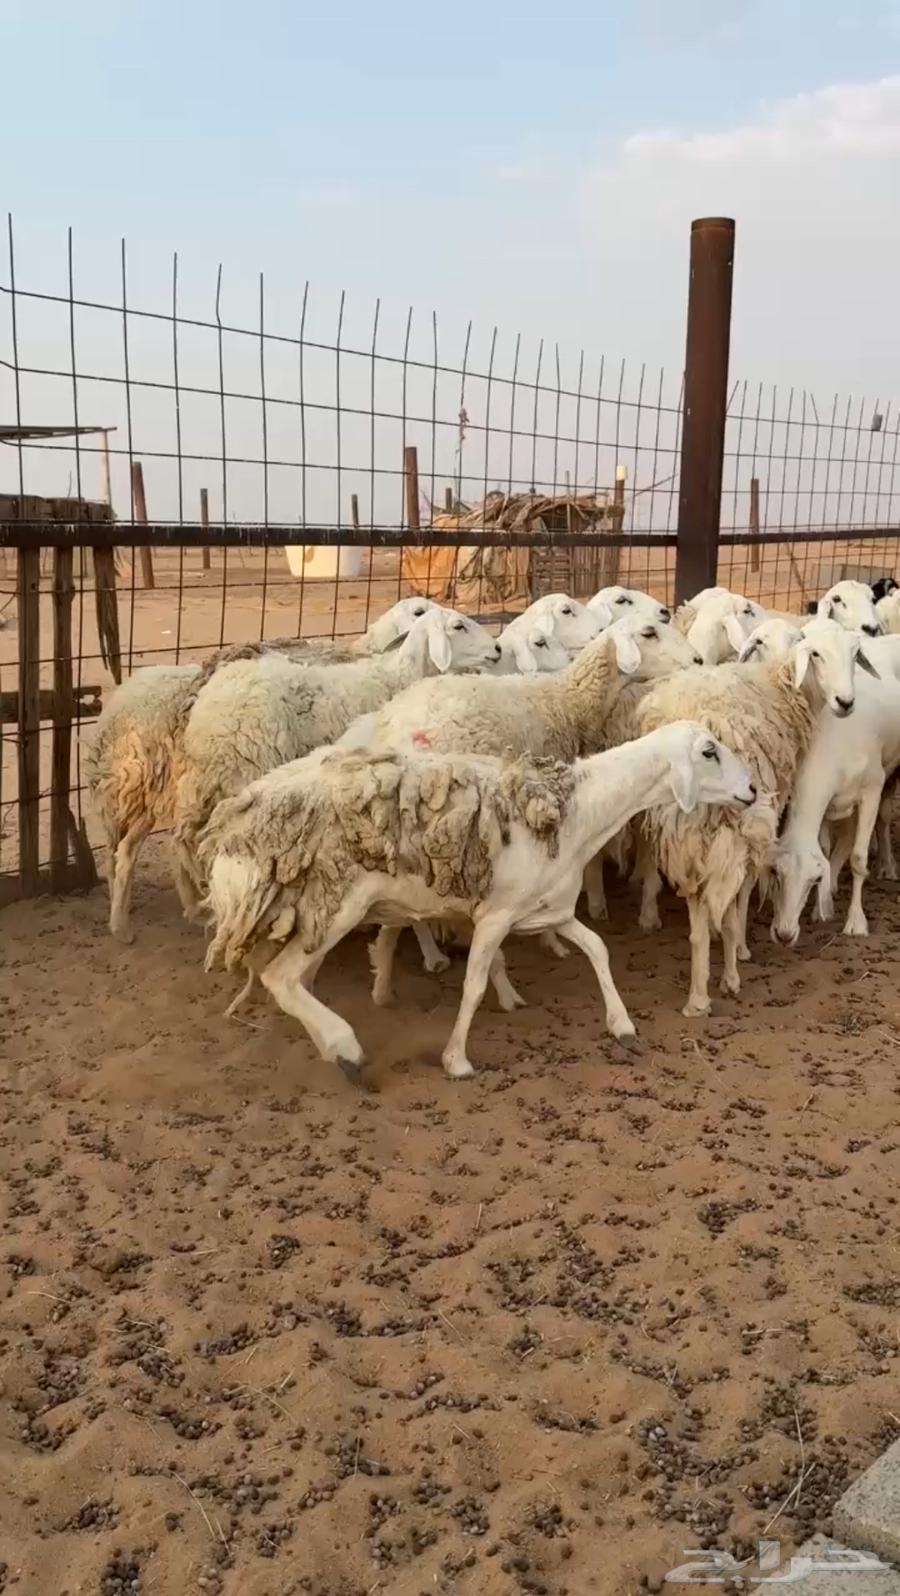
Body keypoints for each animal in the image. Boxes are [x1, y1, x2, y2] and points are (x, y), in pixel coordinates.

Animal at [173, 607, 501, 912]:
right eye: (458, 626)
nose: (498, 649)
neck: (399, 675)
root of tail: (208, 714)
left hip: (202, 785)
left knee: (188, 839)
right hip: (246, 766)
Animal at [201, 723, 755, 1086]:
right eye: (709, 752)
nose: (752, 789)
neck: (579, 811)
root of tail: (235, 826)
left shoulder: (547, 909)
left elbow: (597, 949)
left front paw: (621, 1026)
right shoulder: (495, 915)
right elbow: (472, 984)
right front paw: (457, 1060)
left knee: (294, 982)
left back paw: (329, 1042)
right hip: (333, 905)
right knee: (280, 978)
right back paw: (346, 1049)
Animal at [626, 617, 878, 1016]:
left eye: (797, 639)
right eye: (815, 653)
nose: (844, 702)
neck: (773, 680)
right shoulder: (758, 828)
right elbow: (743, 897)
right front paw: (741, 948)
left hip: (682, 836)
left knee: (696, 927)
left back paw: (696, 997)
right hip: (734, 831)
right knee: (725, 909)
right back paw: (729, 977)